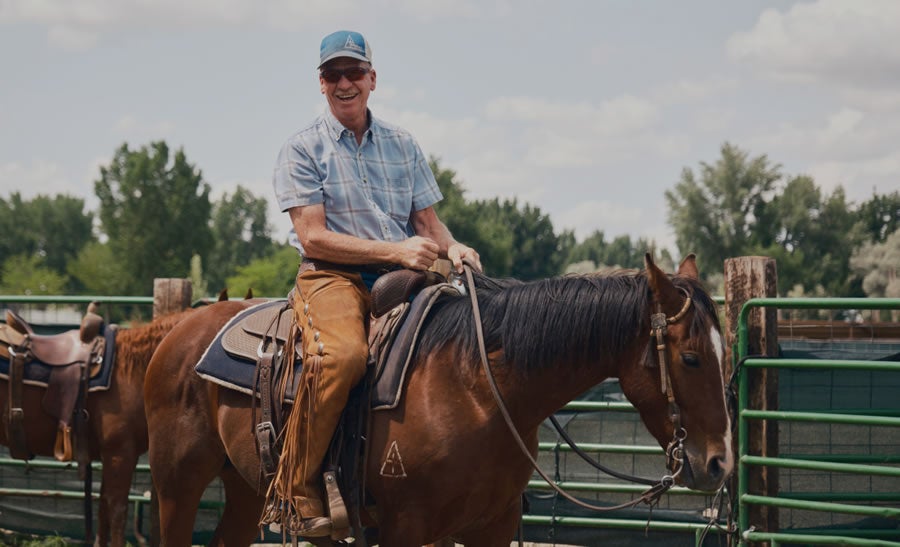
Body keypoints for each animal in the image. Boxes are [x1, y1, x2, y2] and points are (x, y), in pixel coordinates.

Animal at [141, 256, 732, 547]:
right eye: (691, 358)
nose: (718, 464)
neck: (478, 390)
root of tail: (179, 330)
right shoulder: (406, 528)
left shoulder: (489, 528)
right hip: (177, 484)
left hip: (244, 487)